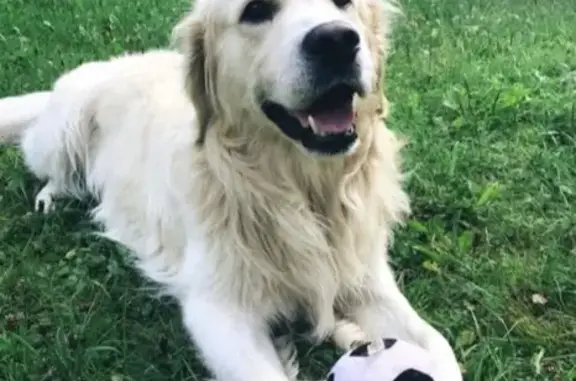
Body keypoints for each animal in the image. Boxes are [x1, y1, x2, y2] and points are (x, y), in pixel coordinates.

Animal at [0, 0, 464, 380]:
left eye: (343, 2)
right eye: (256, 9)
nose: (335, 40)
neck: (302, 191)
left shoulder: (368, 278)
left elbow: (438, 347)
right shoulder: (219, 311)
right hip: (61, 135)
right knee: (55, 171)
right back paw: (50, 199)